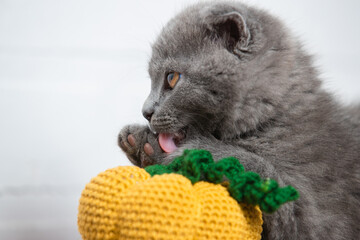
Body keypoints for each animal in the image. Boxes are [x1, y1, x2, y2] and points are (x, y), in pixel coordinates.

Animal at [117, 0, 358, 239]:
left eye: (172, 78)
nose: (146, 111)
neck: (270, 120)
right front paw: (143, 142)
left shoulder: (317, 218)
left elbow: (259, 167)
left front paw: (192, 153)